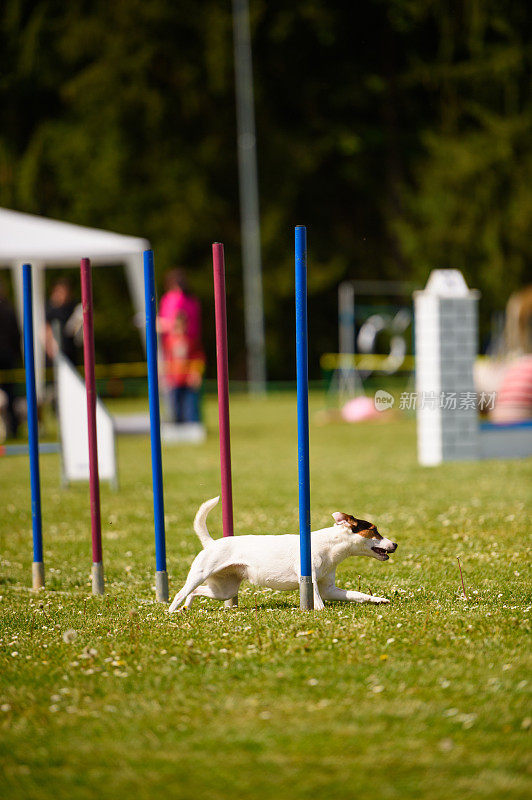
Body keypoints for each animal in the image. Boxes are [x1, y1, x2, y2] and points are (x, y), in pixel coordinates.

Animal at [168, 496, 396, 616]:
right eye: (374, 530)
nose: (395, 544)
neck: (331, 548)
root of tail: (211, 543)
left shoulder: (329, 588)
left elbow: (358, 595)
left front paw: (379, 599)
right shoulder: (310, 579)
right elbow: (318, 600)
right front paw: (320, 612)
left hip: (224, 589)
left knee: (196, 592)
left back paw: (187, 607)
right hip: (200, 574)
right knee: (181, 593)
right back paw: (171, 612)